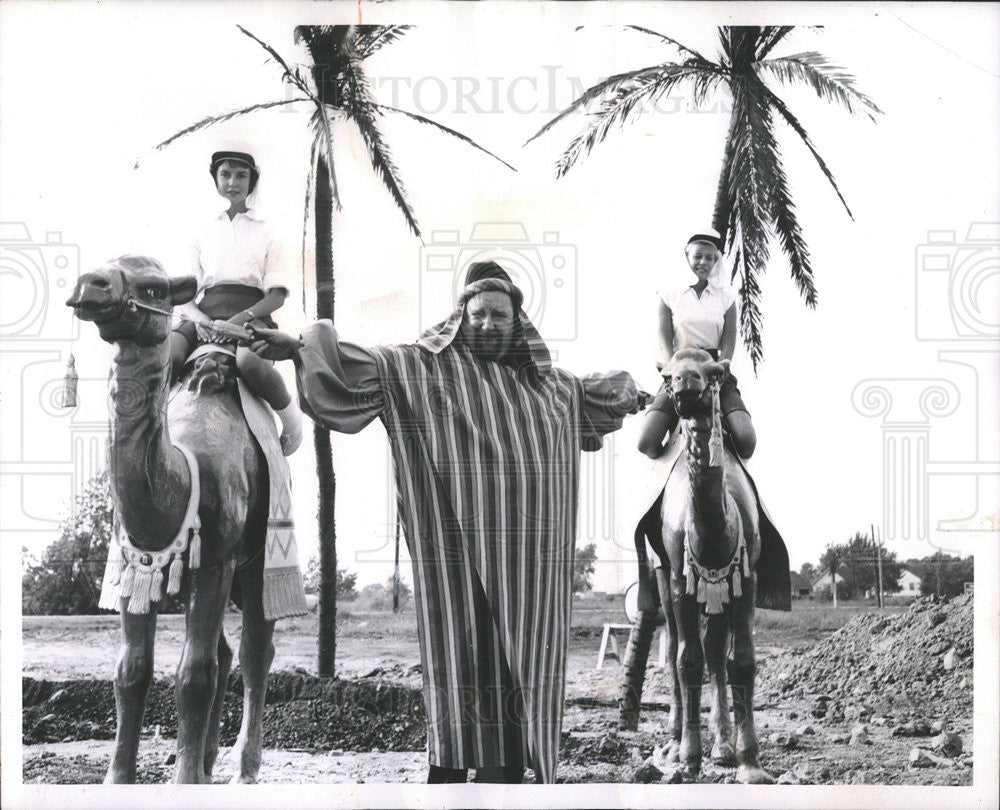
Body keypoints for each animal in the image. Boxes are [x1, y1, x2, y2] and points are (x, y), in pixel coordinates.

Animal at [65, 254, 282, 784]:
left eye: (155, 288)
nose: (91, 284)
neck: (184, 469)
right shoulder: (133, 561)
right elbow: (131, 670)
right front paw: (117, 779)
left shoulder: (218, 560)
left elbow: (193, 672)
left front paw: (184, 781)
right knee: (226, 653)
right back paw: (206, 762)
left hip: (257, 563)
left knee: (255, 652)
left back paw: (242, 770)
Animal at [628, 348, 792, 784]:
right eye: (667, 376)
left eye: (716, 373)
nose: (687, 383)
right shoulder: (681, 578)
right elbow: (687, 661)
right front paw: (688, 759)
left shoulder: (745, 577)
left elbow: (741, 661)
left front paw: (749, 762)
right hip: (663, 575)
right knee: (674, 651)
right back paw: (673, 744)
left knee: (717, 650)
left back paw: (722, 747)